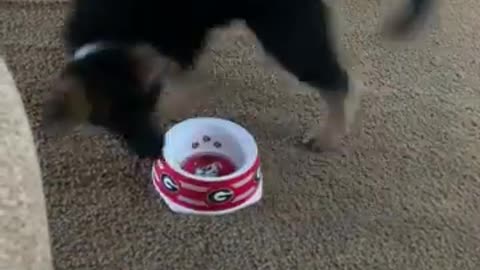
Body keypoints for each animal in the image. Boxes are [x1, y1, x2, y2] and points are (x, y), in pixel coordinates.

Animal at [43, 0, 436, 158]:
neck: (110, 41)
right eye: (110, 123)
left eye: (146, 107)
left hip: (286, 34)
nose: (155, 153)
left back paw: (327, 134)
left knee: (341, 82)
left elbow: (180, 78)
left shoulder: (179, 42)